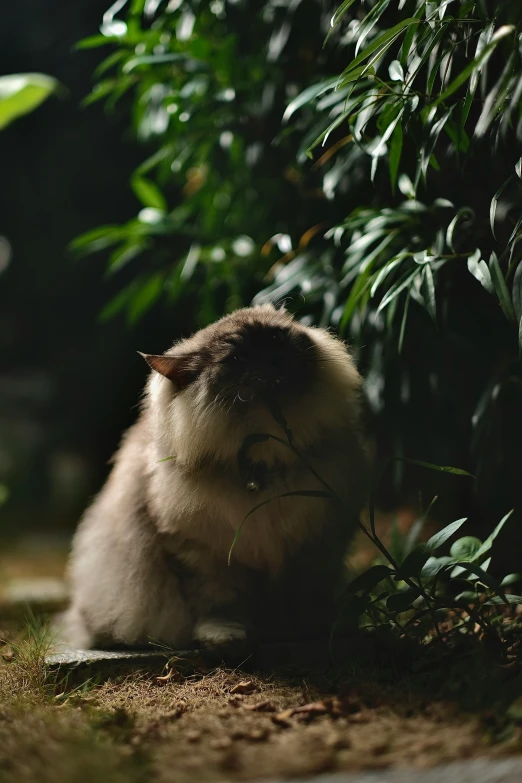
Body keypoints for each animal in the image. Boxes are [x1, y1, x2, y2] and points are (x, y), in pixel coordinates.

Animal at [62, 304, 370, 652]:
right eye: (236, 358)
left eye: (276, 337)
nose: (271, 355)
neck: (263, 461)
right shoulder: (201, 552)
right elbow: (219, 603)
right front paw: (225, 636)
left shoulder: (316, 542)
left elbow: (304, 595)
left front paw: (308, 629)